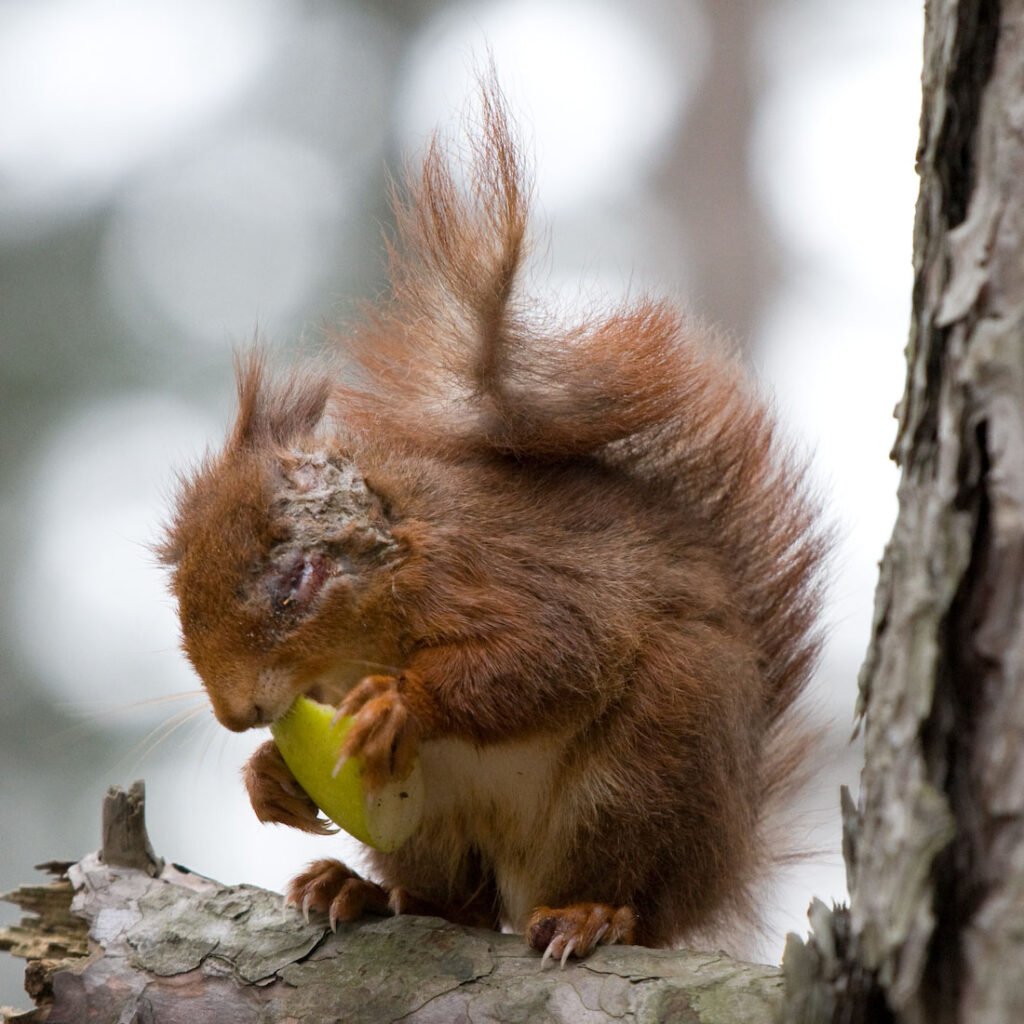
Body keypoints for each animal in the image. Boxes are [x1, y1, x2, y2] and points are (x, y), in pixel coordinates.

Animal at [163, 83, 827, 962]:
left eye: (296, 582)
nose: (236, 714)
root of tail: (723, 871)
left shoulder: (495, 575)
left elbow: (549, 658)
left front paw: (399, 703)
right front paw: (268, 775)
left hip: (650, 762)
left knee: (633, 899)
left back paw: (593, 914)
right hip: (434, 824)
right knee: (458, 903)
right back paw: (360, 890)